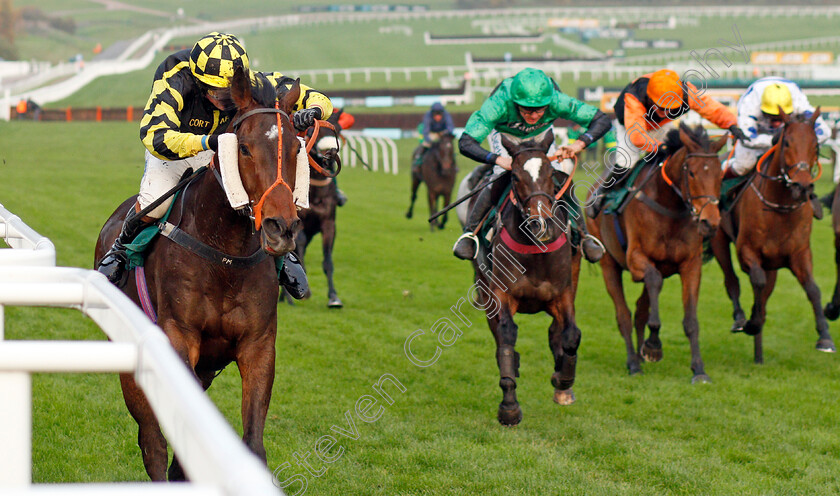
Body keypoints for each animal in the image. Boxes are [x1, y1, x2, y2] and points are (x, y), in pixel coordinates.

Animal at [96, 67, 306, 480]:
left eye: (295, 149)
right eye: (244, 148)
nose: (282, 228)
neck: (224, 255)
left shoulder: (258, 345)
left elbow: (251, 445)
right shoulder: (180, 338)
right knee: (153, 443)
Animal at [472, 132, 584, 426]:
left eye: (550, 174)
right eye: (515, 177)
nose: (540, 224)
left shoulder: (563, 292)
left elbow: (571, 335)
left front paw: (563, 380)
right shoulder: (502, 295)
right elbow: (506, 336)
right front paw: (509, 406)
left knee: (557, 331)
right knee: (499, 335)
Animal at [588, 123, 724, 380]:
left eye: (720, 174)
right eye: (692, 173)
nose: (710, 222)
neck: (669, 205)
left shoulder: (691, 265)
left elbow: (691, 320)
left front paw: (699, 369)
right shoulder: (636, 259)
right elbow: (652, 281)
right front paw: (653, 345)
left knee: (641, 308)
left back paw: (640, 355)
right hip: (608, 263)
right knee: (623, 315)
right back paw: (633, 362)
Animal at [712, 108, 836, 362]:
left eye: (815, 144)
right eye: (787, 142)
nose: (802, 186)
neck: (780, 207)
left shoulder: (799, 253)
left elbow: (813, 289)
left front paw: (825, 337)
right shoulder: (747, 252)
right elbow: (756, 281)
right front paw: (752, 322)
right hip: (719, 241)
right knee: (731, 280)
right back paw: (741, 319)